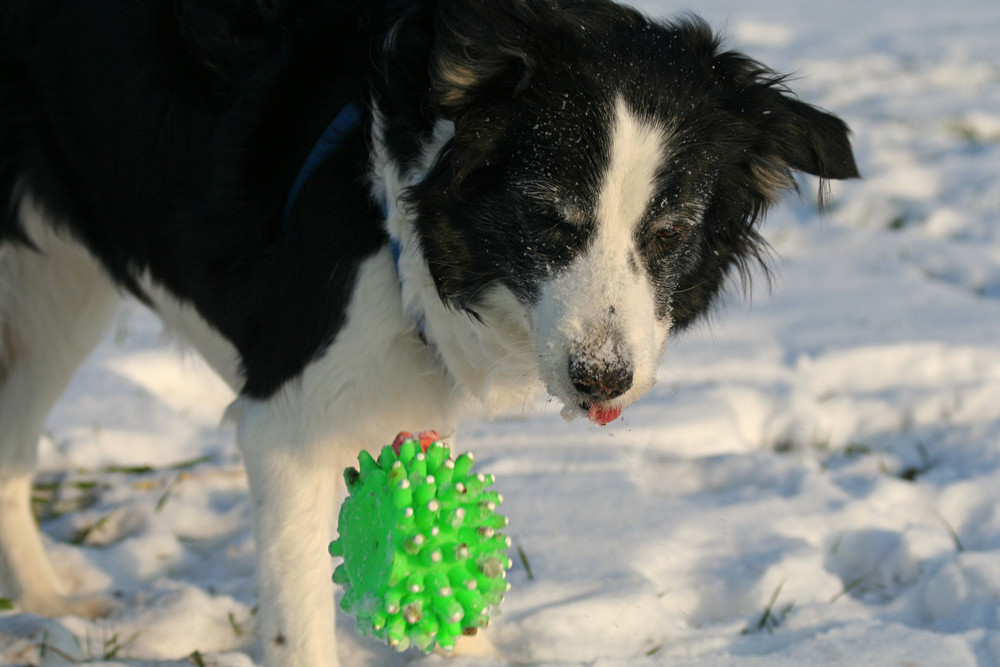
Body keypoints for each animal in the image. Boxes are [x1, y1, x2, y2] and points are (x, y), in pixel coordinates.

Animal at [0, 0, 860, 664]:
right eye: (547, 219)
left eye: (671, 233)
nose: (602, 379)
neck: (398, 217)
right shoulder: (287, 428)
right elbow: (299, 627)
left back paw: (46, 596)